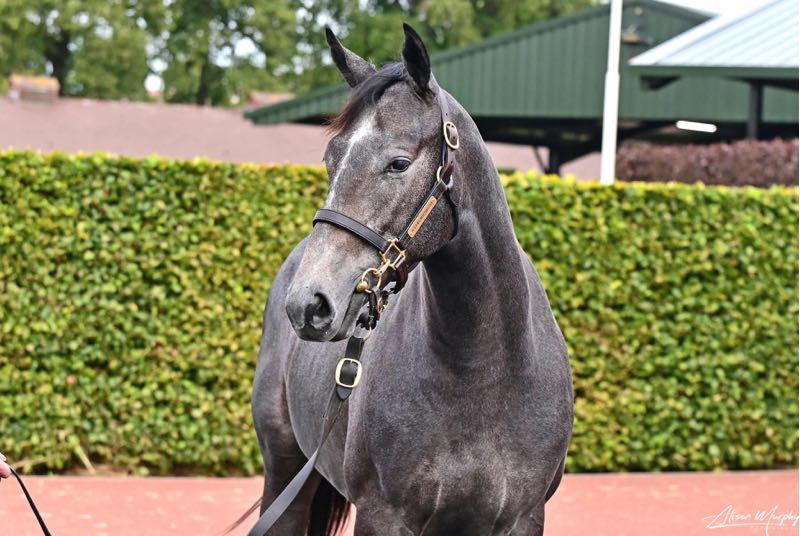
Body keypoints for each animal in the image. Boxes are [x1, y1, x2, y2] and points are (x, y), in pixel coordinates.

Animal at [248, 24, 573, 536]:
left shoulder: (522, 517)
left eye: (398, 163)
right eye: (330, 160)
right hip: (284, 475)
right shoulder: (383, 516)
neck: (482, 371)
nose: (309, 304)